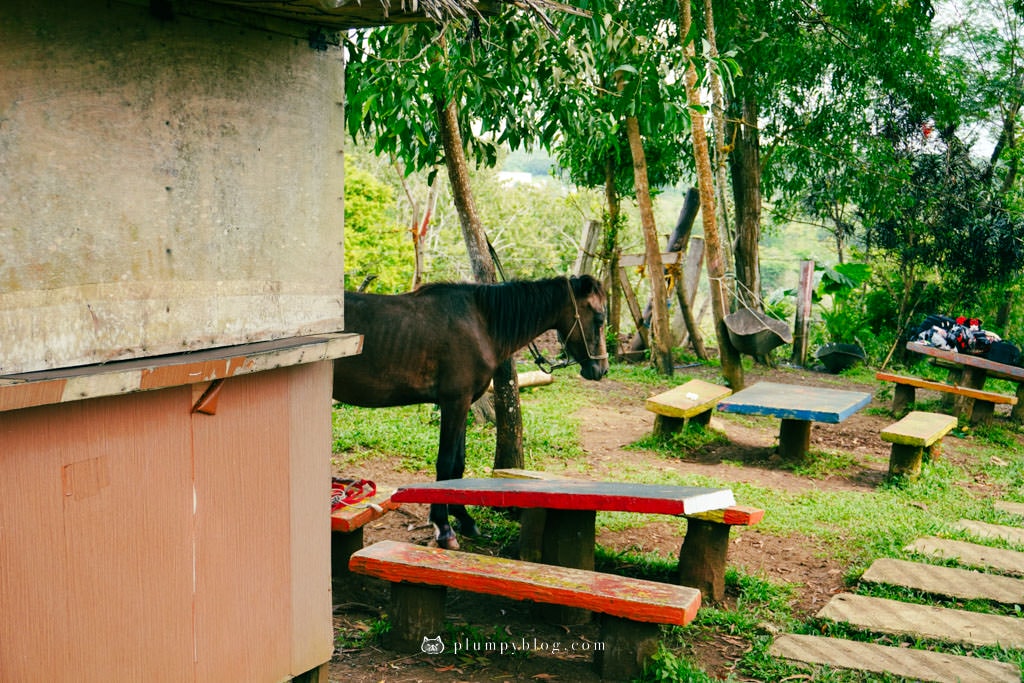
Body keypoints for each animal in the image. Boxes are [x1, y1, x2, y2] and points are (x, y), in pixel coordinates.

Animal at [335, 274, 606, 548]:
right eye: (599, 318)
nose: (600, 369)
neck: (481, 323)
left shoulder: (464, 403)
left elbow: (458, 462)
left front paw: (463, 517)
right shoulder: (455, 401)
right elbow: (446, 463)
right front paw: (443, 527)